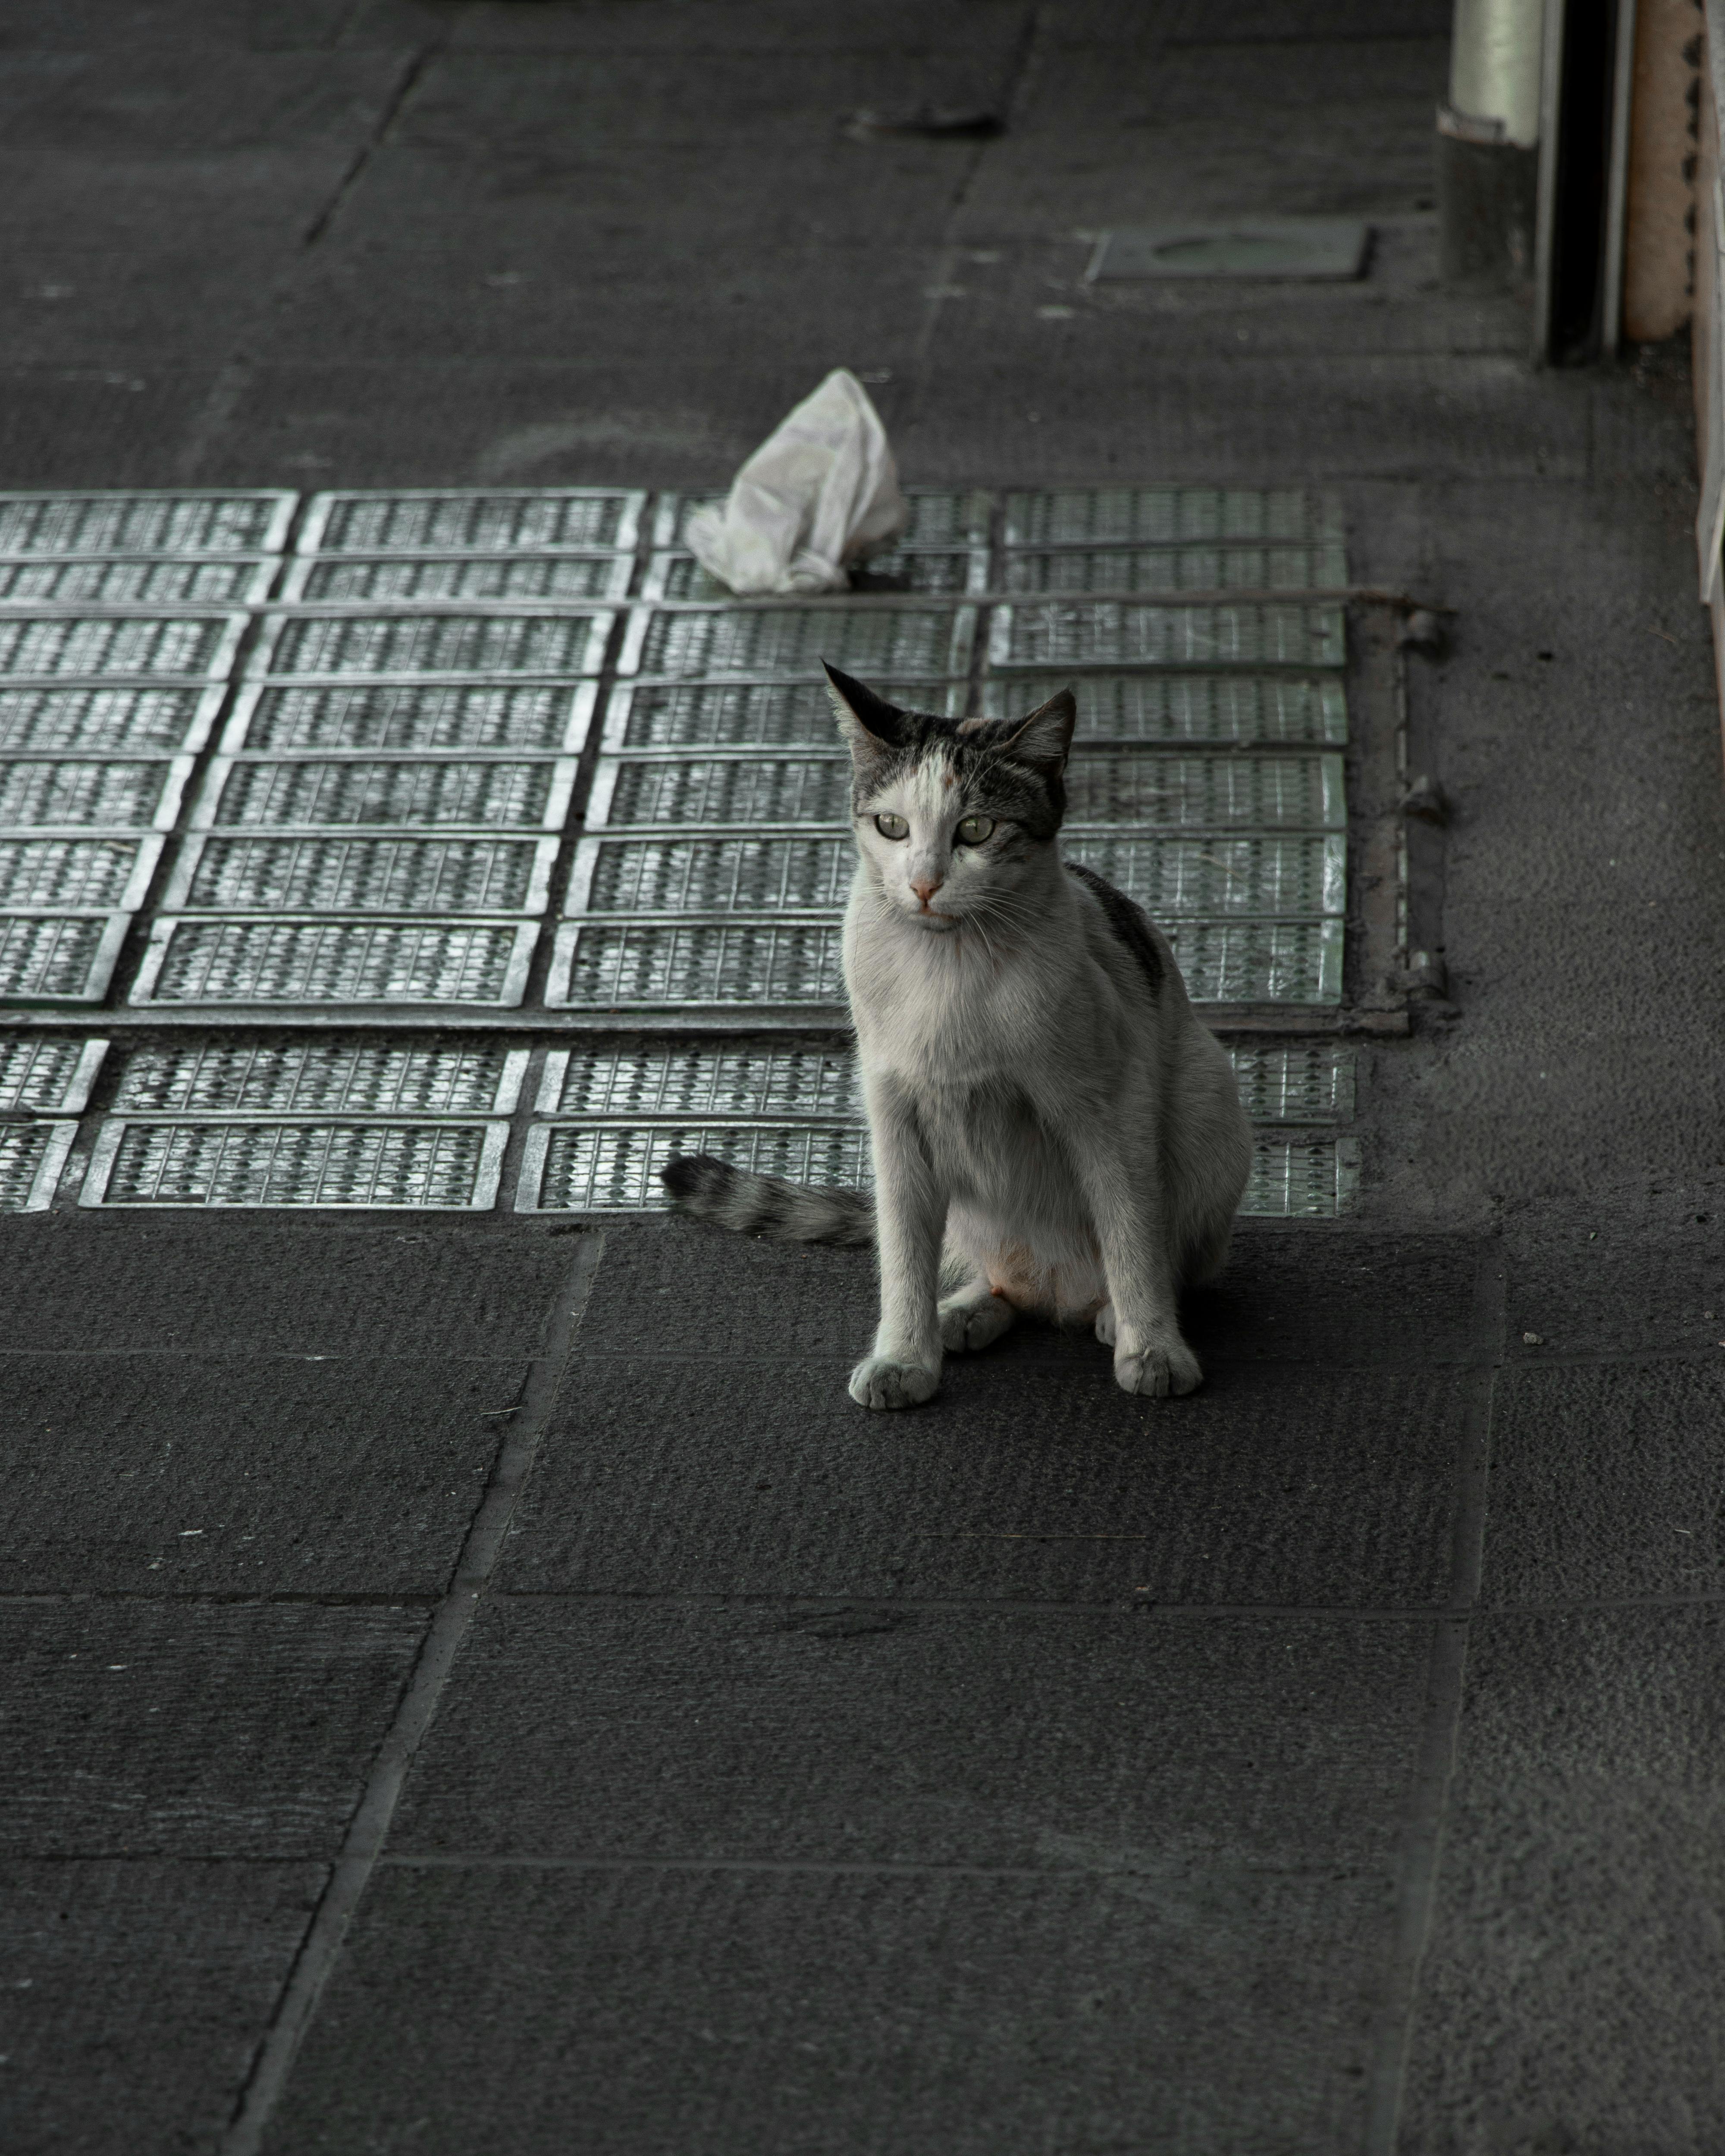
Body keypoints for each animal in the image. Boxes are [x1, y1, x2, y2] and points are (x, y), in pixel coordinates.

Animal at [664, 655, 1251, 1406]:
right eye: (891, 826)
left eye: (975, 830)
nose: (923, 883)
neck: (949, 970)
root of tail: (1059, 1292)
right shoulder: (894, 1116)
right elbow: (903, 1253)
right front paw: (903, 1357)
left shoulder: (1109, 1110)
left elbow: (1131, 1233)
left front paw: (1153, 1346)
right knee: (999, 1279)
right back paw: (968, 1310)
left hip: (1207, 1107)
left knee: (1163, 1255)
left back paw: (1111, 1314)